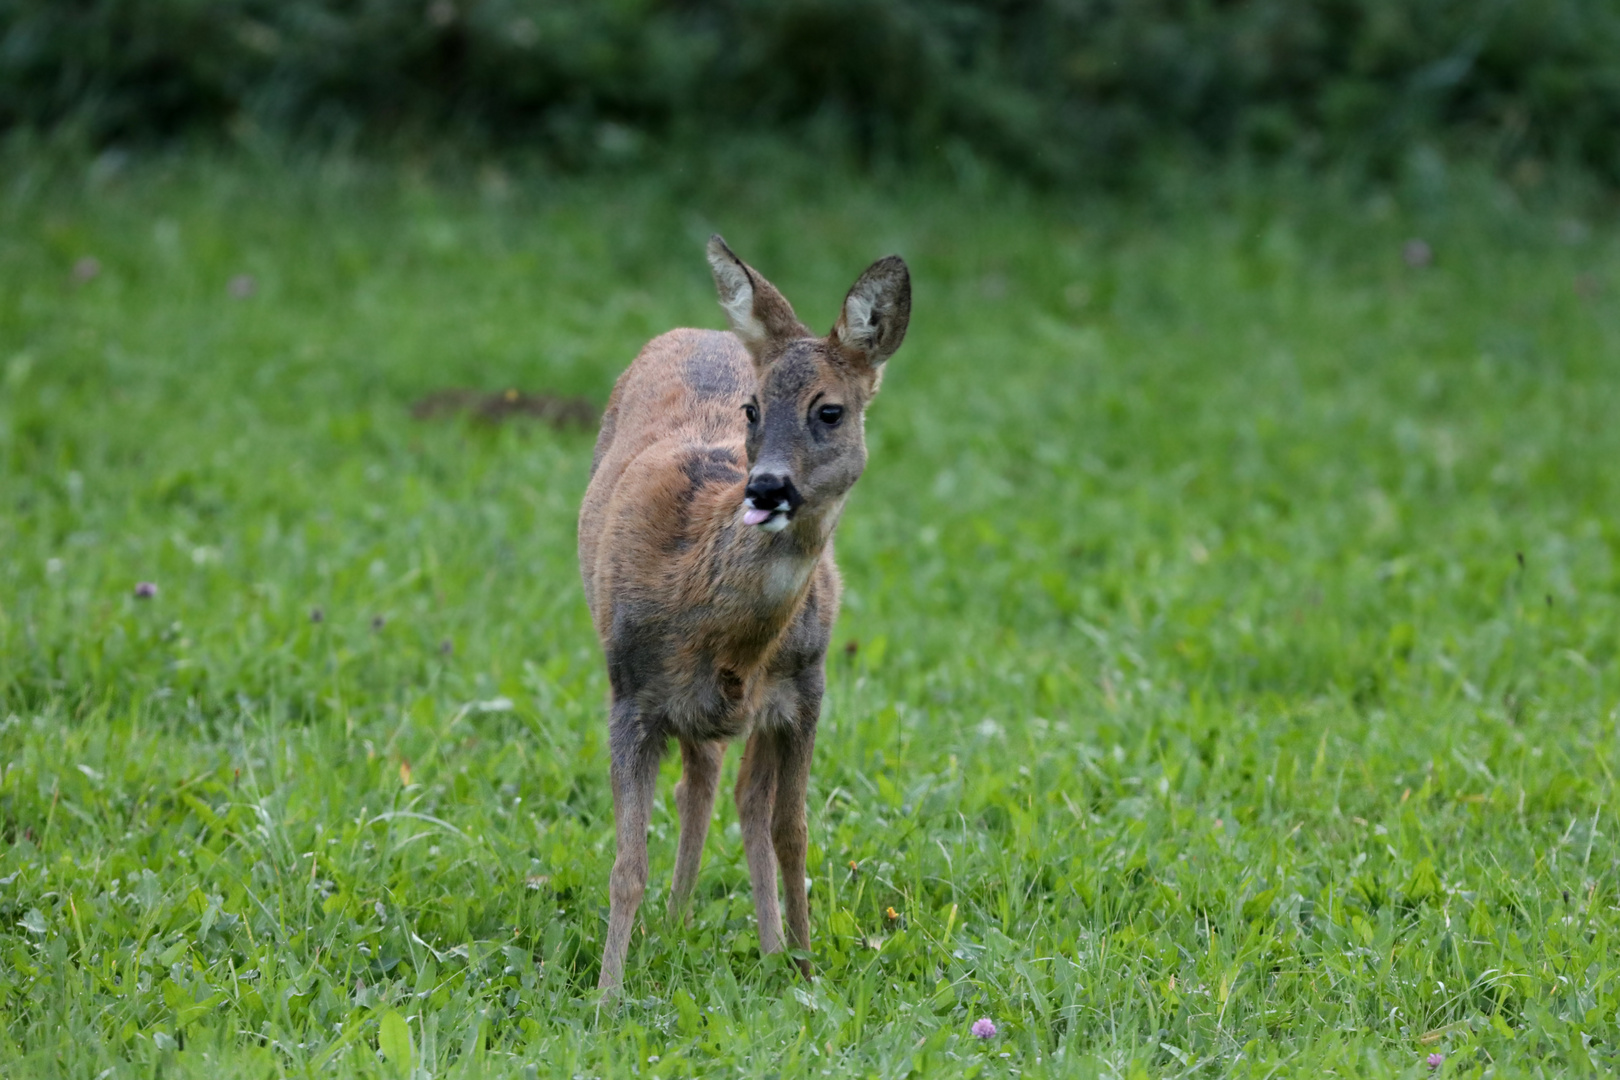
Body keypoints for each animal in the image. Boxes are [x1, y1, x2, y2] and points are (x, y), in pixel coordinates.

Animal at [579, 236, 913, 997]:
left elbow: (792, 833)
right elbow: (626, 863)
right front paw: (608, 997)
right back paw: (675, 926)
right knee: (700, 783)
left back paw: (756, 945)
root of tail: (703, 328)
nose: (765, 487)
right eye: (752, 409)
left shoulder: (807, 690)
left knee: (736, 796)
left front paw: (806, 969)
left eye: (830, 411)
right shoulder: (628, 692)